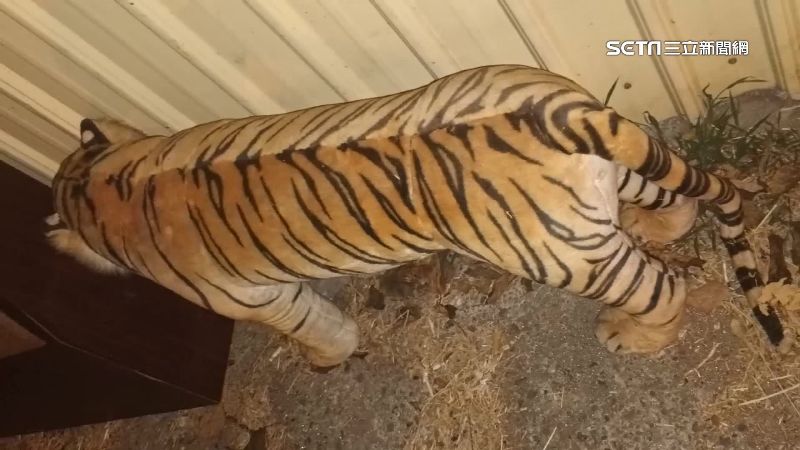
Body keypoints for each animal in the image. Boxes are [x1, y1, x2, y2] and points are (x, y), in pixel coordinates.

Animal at [46, 65, 784, 367]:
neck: (105, 182)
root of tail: (561, 113)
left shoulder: (255, 298)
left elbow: (313, 326)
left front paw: (325, 359)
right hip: (615, 170)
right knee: (676, 201)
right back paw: (652, 227)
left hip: (567, 258)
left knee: (664, 290)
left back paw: (630, 336)